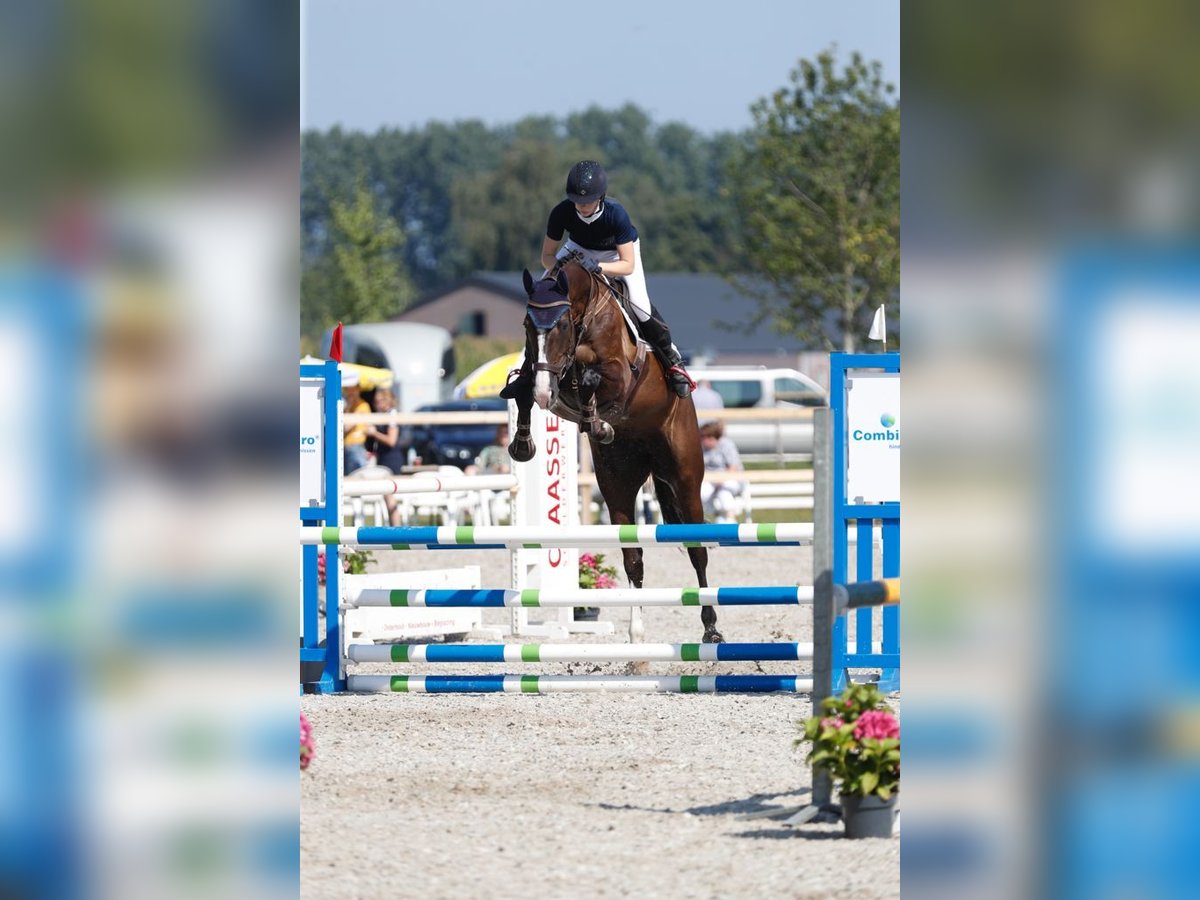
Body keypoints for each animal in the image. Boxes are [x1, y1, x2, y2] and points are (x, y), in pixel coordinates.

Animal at [504, 256, 720, 643]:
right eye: (528, 324)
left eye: (560, 324)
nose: (546, 392)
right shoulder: (537, 372)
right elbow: (524, 389)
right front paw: (523, 444)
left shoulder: (619, 373)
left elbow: (593, 377)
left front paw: (597, 418)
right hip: (617, 484)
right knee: (633, 559)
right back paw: (636, 634)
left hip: (685, 476)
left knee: (697, 552)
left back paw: (710, 629)